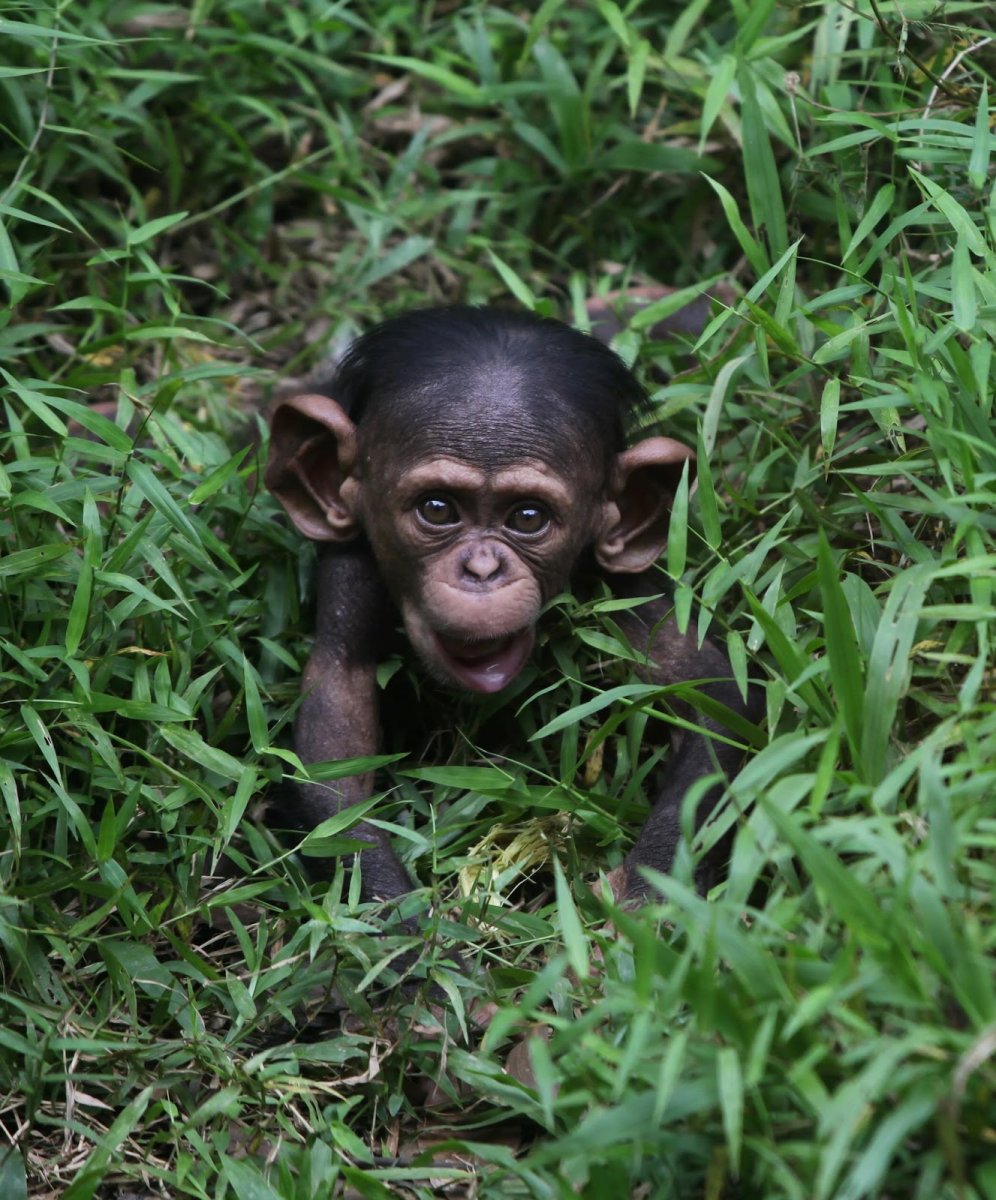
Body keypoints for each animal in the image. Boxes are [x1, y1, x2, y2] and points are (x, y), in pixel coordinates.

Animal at [265, 305, 759, 909]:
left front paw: (641, 899)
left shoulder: (619, 576)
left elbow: (714, 698)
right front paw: (410, 927)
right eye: (437, 509)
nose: (481, 570)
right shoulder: (354, 569)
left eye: (527, 517)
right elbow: (336, 721)